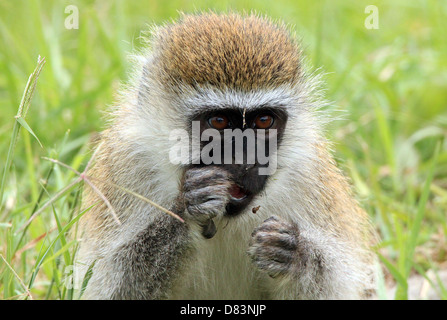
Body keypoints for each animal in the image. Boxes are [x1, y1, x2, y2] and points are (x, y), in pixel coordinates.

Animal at [76, 12, 378, 300]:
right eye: (219, 122)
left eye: (264, 121)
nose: (244, 159)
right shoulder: (127, 162)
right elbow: (107, 283)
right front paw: (188, 204)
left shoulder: (310, 172)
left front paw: (292, 252)